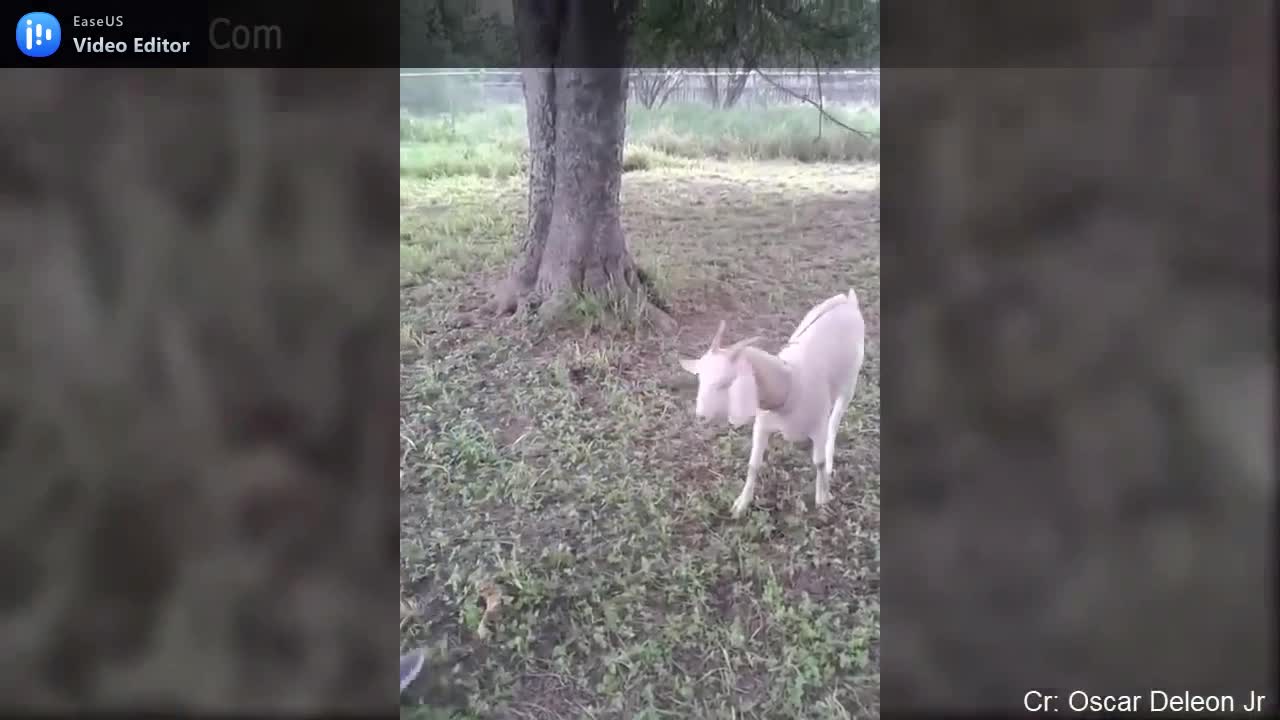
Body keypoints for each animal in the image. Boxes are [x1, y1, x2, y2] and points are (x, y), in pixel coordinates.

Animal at [675, 289, 865, 515]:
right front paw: (741, 504)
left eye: (725, 382)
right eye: (700, 378)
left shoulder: (818, 424)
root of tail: (848, 300)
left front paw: (823, 497)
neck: (790, 387)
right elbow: (753, 464)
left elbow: (817, 462)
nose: (700, 416)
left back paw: (829, 463)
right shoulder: (762, 424)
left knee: (835, 422)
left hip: (850, 382)